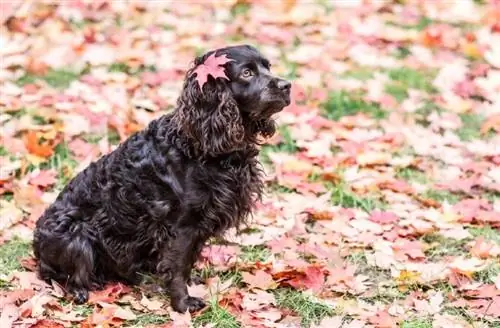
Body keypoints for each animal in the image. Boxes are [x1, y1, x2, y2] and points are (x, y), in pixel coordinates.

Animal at [33, 44, 292, 312]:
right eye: (247, 73)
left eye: (268, 67)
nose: (287, 85)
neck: (199, 146)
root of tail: (37, 245)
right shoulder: (182, 225)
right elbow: (177, 266)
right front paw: (183, 303)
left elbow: (187, 260)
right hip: (77, 237)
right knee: (70, 275)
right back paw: (81, 291)